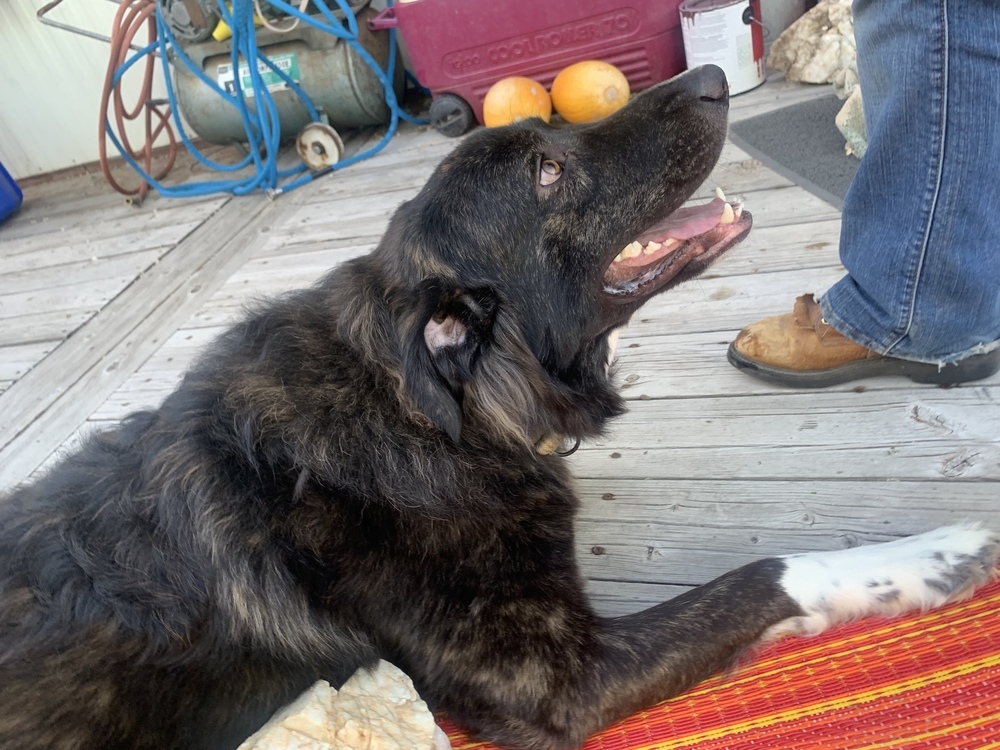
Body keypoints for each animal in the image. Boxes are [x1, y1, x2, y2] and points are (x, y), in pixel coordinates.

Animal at [1, 66, 1000, 750]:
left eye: (551, 131)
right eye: (549, 172)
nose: (715, 75)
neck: (438, 411)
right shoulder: (553, 680)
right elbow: (765, 573)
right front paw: (936, 554)